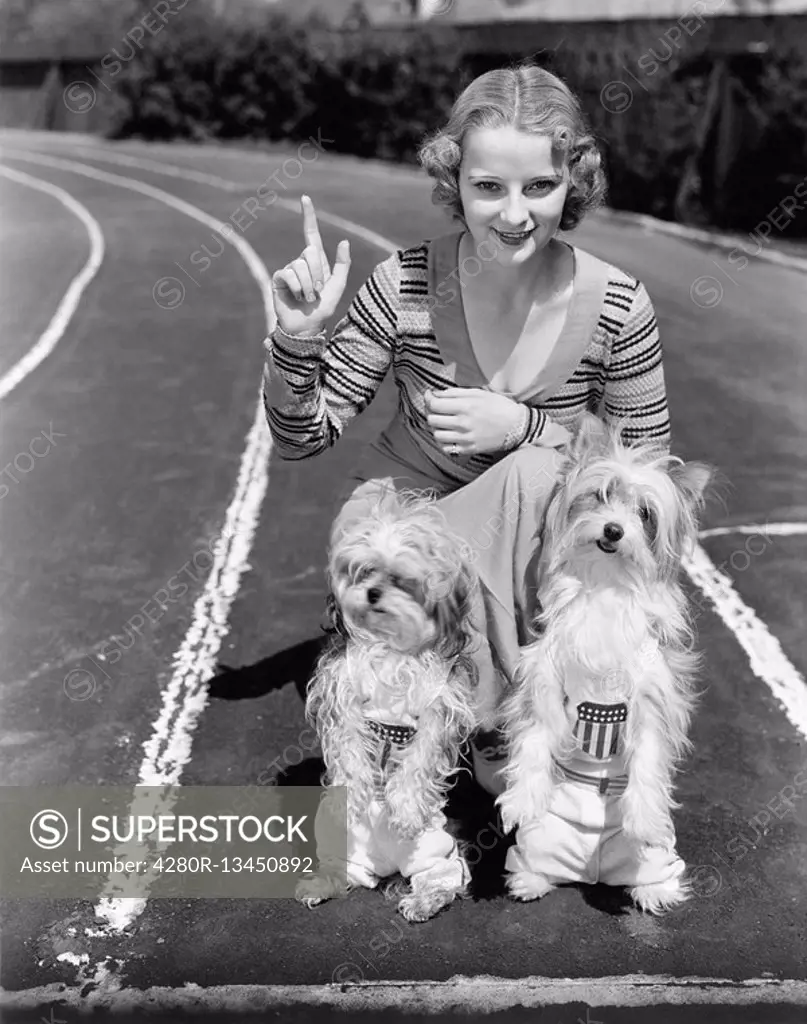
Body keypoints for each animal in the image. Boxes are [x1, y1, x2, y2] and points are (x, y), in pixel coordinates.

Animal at [497, 415, 712, 913]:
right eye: (601, 494)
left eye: (646, 514)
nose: (614, 530)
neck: (605, 586)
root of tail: (592, 871)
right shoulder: (543, 682)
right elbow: (533, 742)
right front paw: (519, 801)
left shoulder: (652, 698)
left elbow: (649, 758)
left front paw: (644, 819)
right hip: (542, 841)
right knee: (537, 862)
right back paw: (530, 880)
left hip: (655, 860)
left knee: (653, 871)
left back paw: (653, 889)